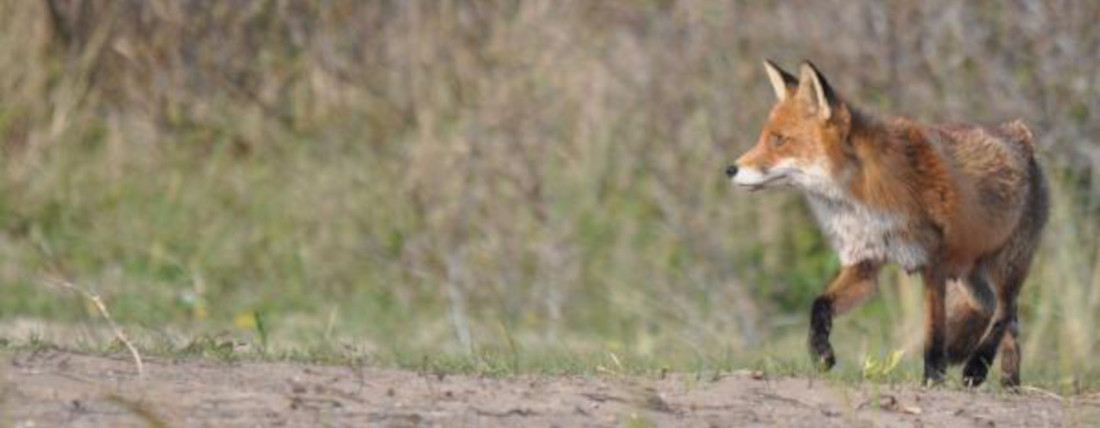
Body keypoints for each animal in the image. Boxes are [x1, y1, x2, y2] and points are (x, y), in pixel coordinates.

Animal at [726, 60, 1049, 386]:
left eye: (779, 139)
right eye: (764, 137)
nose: (730, 169)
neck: (864, 199)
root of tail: (1019, 131)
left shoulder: (933, 263)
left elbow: (934, 334)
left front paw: (933, 378)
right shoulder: (865, 263)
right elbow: (819, 304)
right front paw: (821, 352)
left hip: (1006, 266)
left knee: (1004, 312)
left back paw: (978, 367)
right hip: (970, 274)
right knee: (1000, 314)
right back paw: (1009, 381)